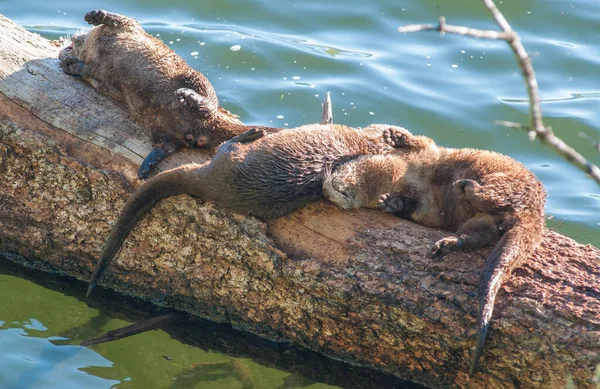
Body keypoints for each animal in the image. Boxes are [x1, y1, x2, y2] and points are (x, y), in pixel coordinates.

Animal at [58, 9, 274, 178]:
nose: (62, 52)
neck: (96, 45)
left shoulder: (130, 28)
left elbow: (121, 18)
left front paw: (95, 15)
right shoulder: (98, 78)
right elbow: (89, 74)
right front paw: (70, 65)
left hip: (194, 78)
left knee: (208, 103)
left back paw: (190, 97)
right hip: (156, 124)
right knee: (168, 144)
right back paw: (148, 164)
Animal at [324, 127, 548, 372]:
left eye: (343, 180)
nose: (327, 190)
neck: (407, 174)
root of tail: (535, 214)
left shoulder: (428, 153)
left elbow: (420, 141)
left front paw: (395, 136)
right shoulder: (427, 208)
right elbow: (416, 209)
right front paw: (392, 204)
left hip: (508, 181)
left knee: (491, 194)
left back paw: (467, 186)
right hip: (485, 219)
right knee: (480, 232)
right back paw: (449, 242)